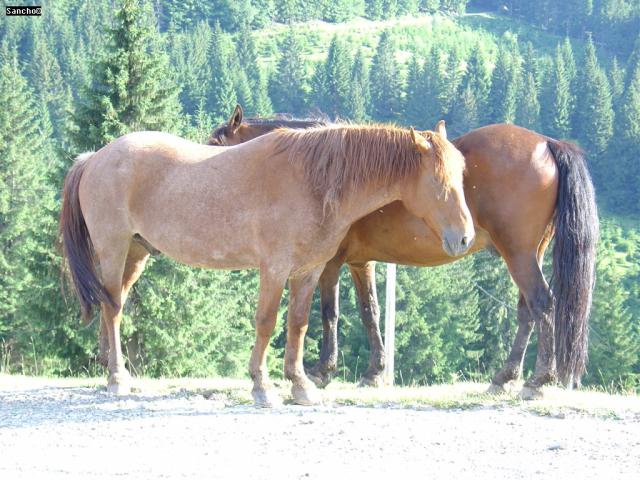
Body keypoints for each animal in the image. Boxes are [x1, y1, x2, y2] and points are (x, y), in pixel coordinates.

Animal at [60, 123, 472, 404]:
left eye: (462, 175)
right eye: (438, 183)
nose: (465, 237)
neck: (313, 182)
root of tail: (95, 157)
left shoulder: (309, 271)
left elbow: (298, 324)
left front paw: (301, 384)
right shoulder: (274, 268)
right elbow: (266, 322)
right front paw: (262, 385)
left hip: (136, 253)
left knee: (112, 304)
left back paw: (108, 367)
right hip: (113, 249)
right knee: (113, 309)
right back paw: (117, 378)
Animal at [206, 106, 600, 402]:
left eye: (213, 147)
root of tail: (547, 142)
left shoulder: (328, 263)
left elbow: (329, 313)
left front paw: (323, 370)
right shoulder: (360, 262)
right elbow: (370, 312)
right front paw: (373, 371)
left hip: (518, 254)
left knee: (543, 304)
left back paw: (537, 381)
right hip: (527, 254)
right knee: (527, 312)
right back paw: (505, 377)